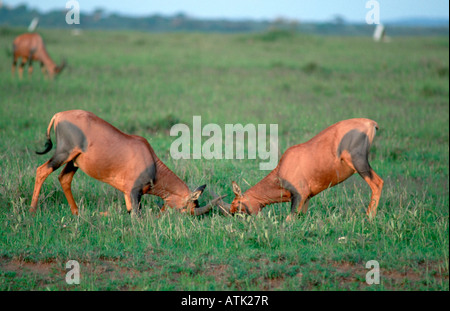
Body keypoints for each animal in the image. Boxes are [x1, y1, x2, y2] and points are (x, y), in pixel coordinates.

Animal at [30, 111, 224, 217]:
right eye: (186, 208)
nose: (161, 215)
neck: (150, 160)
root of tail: (59, 115)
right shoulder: (134, 191)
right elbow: (137, 216)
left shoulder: (127, 194)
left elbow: (129, 212)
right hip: (63, 153)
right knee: (41, 170)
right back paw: (32, 210)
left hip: (74, 162)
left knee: (64, 178)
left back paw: (76, 213)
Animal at [218, 118, 384, 221]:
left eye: (237, 205)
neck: (282, 169)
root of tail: (370, 123)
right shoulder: (306, 198)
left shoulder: (299, 195)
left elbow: (289, 220)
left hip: (359, 162)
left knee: (377, 183)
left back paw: (369, 218)